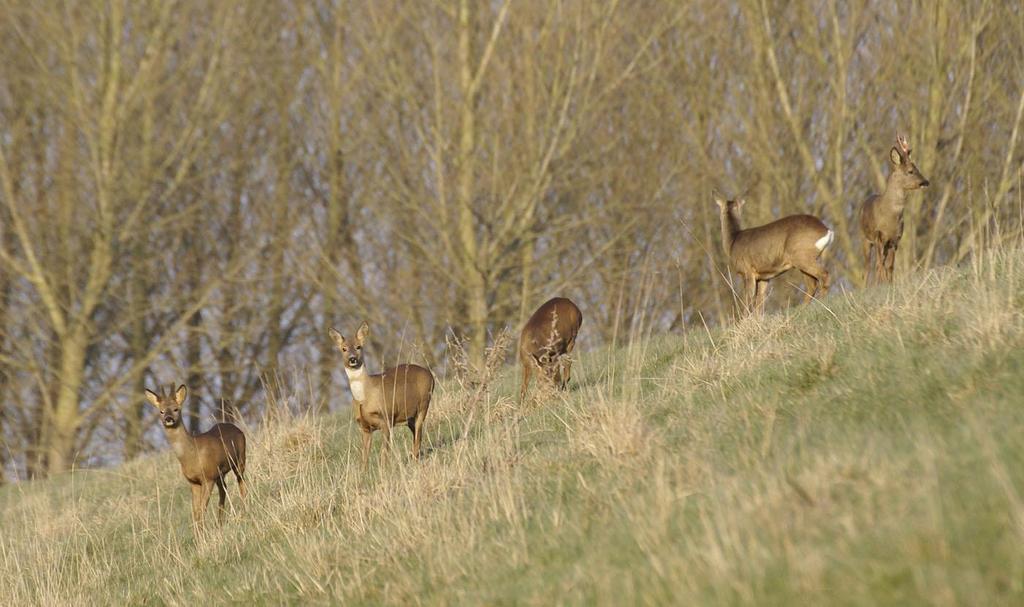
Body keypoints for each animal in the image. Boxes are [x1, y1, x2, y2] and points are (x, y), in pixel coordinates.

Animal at [143, 382, 246, 536]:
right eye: (161, 411)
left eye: (176, 409)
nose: (168, 419)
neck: (192, 456)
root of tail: (236, 428)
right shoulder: (194, 481)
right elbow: (195, 511)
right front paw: (198, 535)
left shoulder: (208, 477)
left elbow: (202, 508)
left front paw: (202, 535)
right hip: (220, 473)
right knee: (224, 490)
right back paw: (220, 523)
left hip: (240, 460)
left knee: (242, 484)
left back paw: (245, 511)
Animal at [329, 319, 434, 466]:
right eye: (344, 348)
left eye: (358, 347)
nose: (352, 359)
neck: (365, 397)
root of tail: (430, 375)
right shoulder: (364, 427)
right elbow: (364, 457)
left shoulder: (386, 419)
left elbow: (384, 452)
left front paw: (384, 469)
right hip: (409, 416)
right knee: (416, 435)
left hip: (423, 405)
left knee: (418, 435)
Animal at [860, 134, 933, 282]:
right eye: (910, 171)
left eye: (918, 168)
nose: (926, 182)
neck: (890, 215)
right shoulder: (878, 235)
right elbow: (879, 265)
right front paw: (880, 284)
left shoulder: (895, 240)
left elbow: (890, 267)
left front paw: (889, 284)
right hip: (865, 238)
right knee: (867, 268)